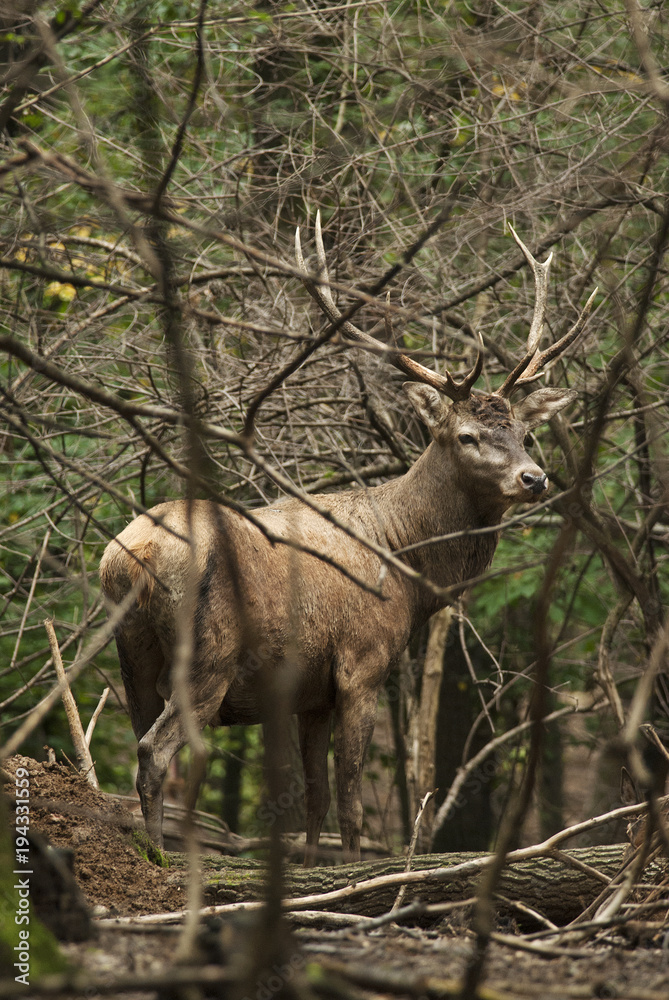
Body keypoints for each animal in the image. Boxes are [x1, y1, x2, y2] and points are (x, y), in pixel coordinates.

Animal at [99, 217, 596, 862]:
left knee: (140, 739)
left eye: (525, 431)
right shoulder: (362, 661)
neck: (407, 570)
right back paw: (165, 857)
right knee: (156, 751)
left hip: (131, 652)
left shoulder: (309, 693)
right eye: (466, 435)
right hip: (209, 650)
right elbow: (351, 798)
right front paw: (359, 870)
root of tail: (129, 557)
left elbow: (314, 796)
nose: (535, 478)